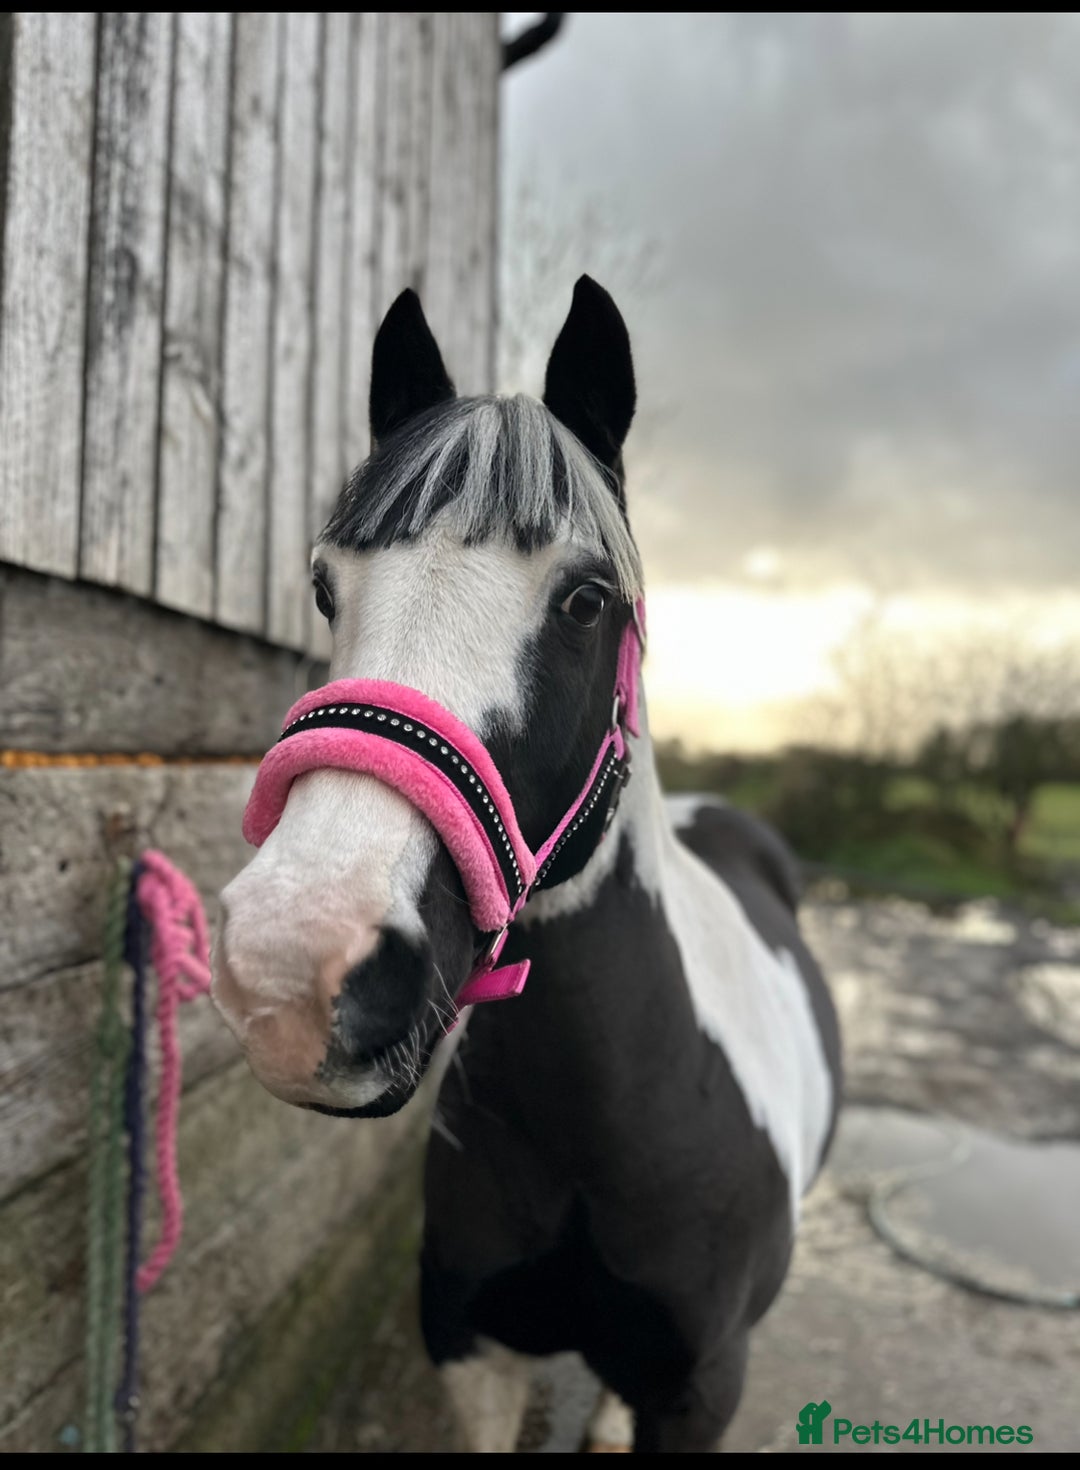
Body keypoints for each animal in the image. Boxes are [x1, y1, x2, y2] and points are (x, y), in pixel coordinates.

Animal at [211, 276, 842, 1453]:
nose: (293, 971)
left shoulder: (699, 1393)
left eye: (585, 600)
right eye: (326, 588)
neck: (605, 1126)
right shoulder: (472, 1354)